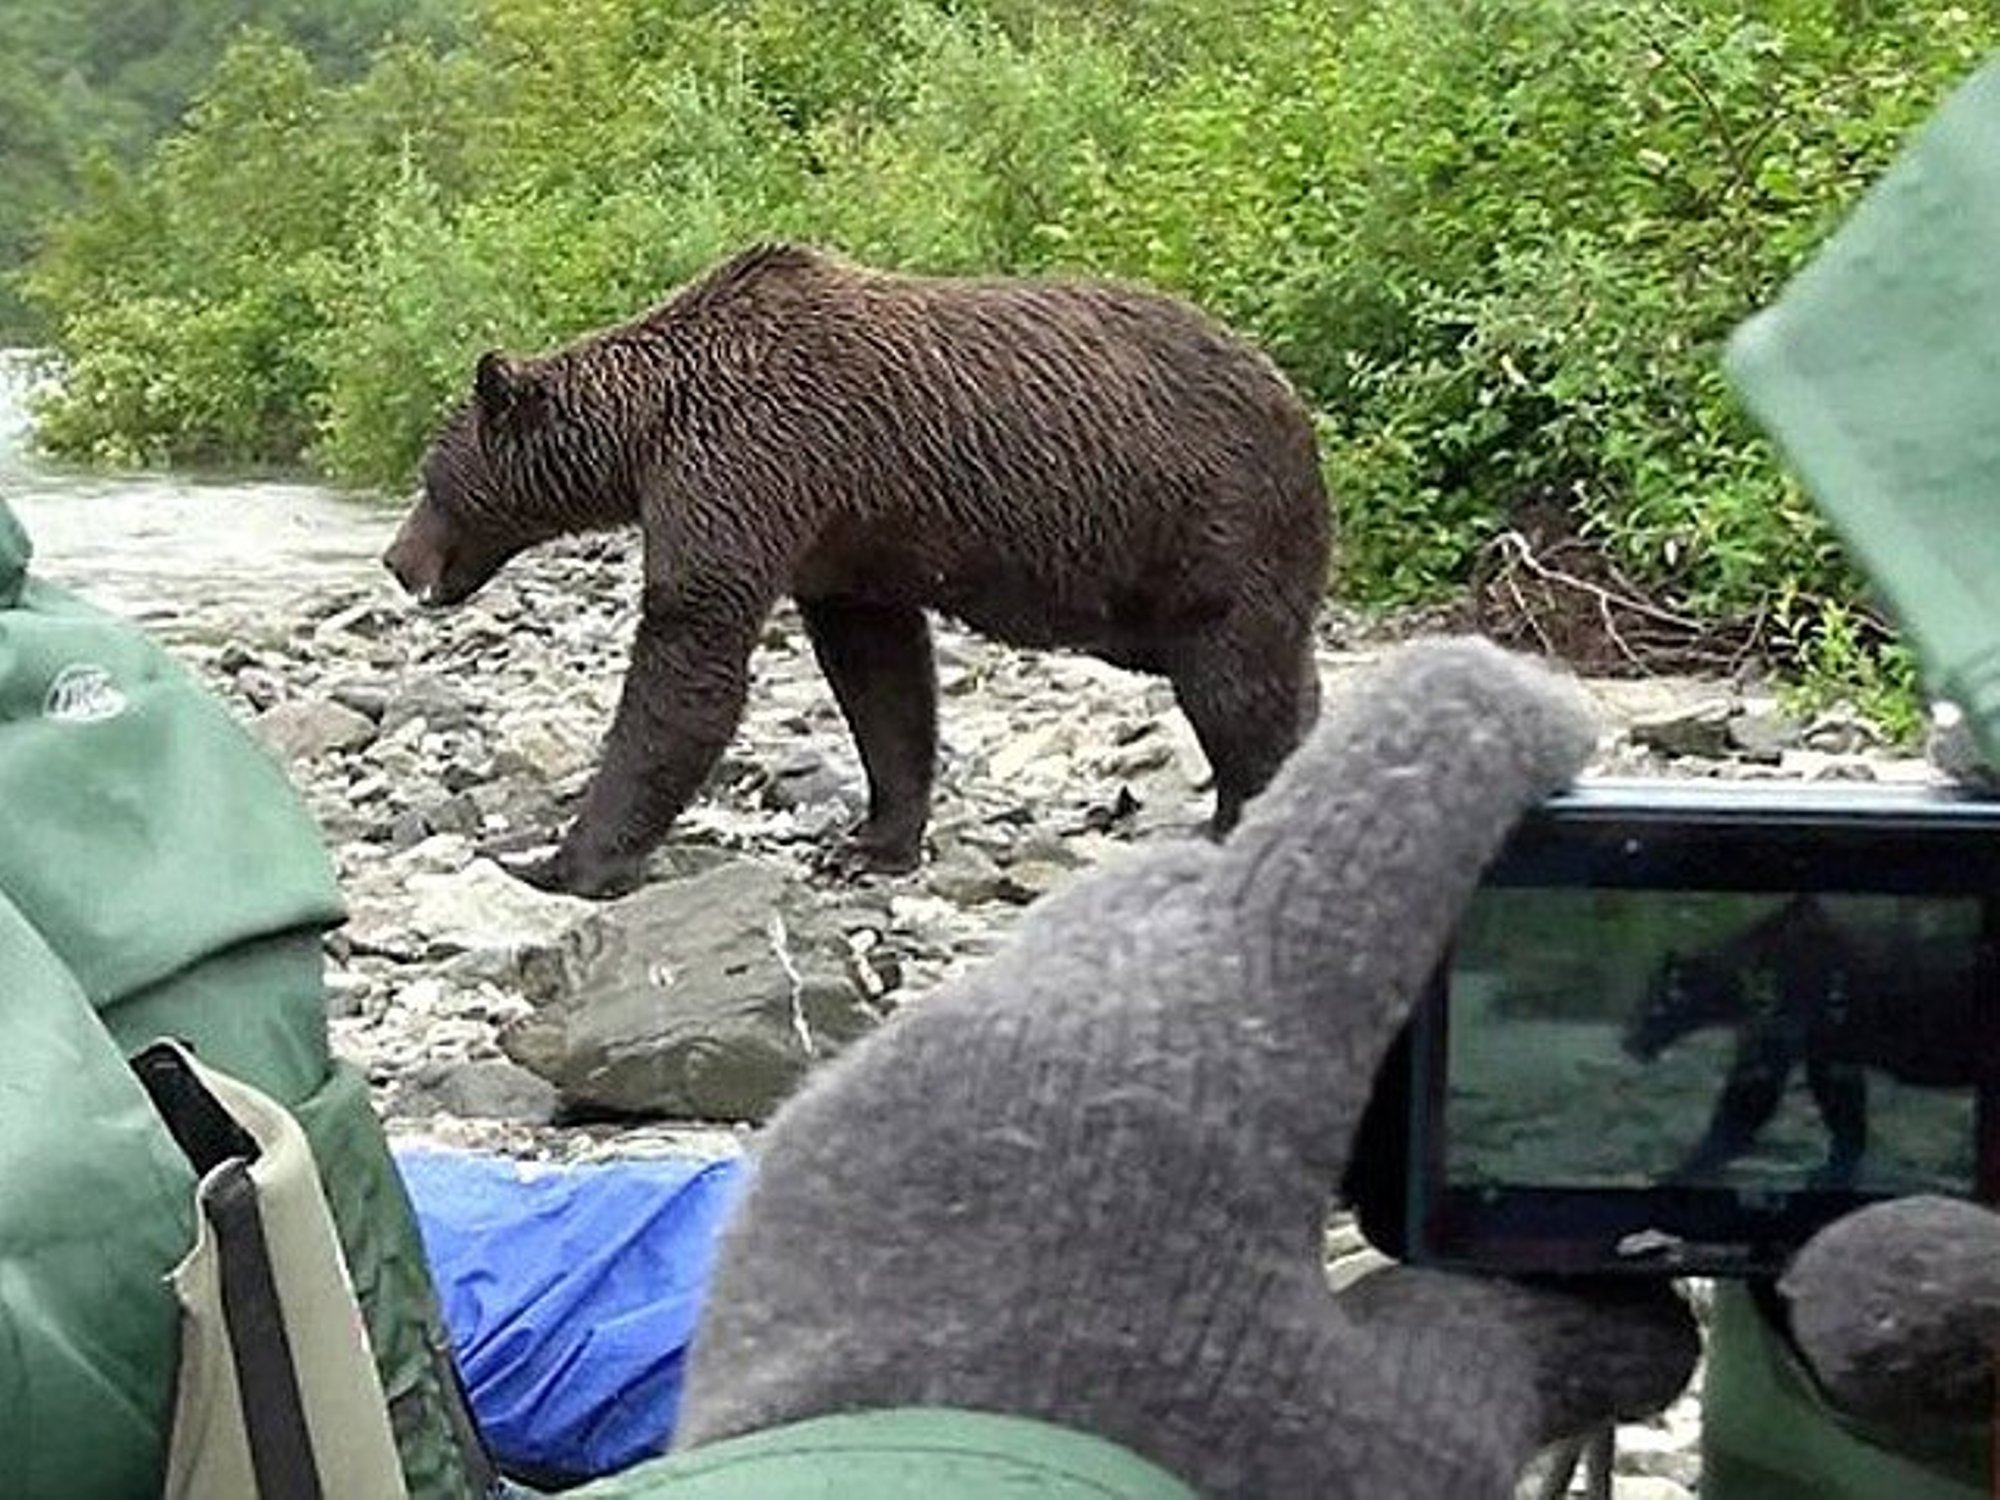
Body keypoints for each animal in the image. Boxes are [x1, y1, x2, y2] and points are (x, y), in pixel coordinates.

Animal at [384, 242, 1336, 900]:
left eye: (431, 480)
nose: (395, 560)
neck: (649, 429)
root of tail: (1295, 398)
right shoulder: (846, 539)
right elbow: (881, 677)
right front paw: (871, 842)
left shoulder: (750, 461)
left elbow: (689, 653)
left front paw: (563, 857)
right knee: (1280, 669)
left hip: (1213, 522)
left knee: (1234, 680)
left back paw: (1242, 818)